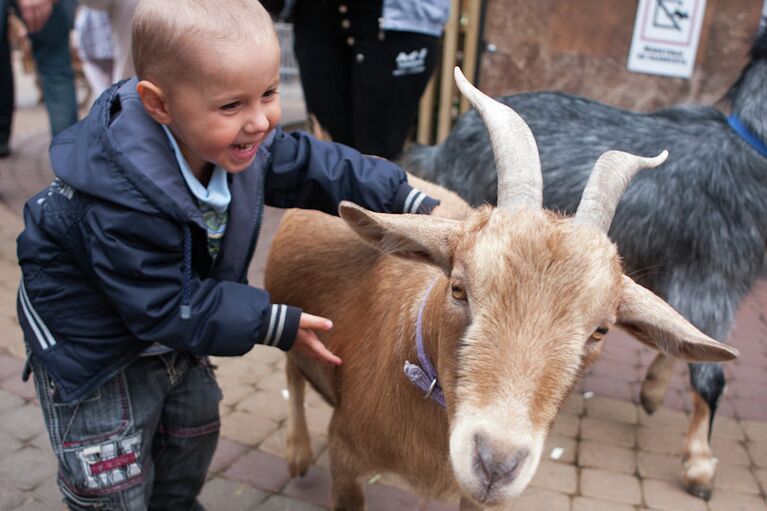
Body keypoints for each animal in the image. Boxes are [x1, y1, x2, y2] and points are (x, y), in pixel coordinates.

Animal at [264, 69, 736, 511]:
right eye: (458, 288)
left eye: (601, 330)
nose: (495, 464)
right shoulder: (346, 457)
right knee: (292, 369)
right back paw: (297, 452)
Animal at [408, 29, 767, 500]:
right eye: (461, 289)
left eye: (601, 329)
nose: (496, 462)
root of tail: (448, 141)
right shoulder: (716, 271)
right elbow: (711, 377)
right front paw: (700, 467)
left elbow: (687, 337)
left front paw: (654, 392)